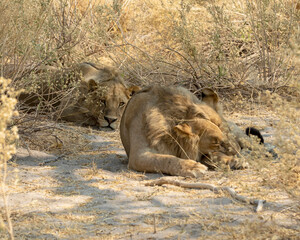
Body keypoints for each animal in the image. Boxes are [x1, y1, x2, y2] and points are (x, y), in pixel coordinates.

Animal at [120, 85, 262, 177]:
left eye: (223, 130)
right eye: (216, 142)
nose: (237, 150)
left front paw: (235, 161)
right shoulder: (138, 156)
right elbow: (165, 159)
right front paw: (193, 167)